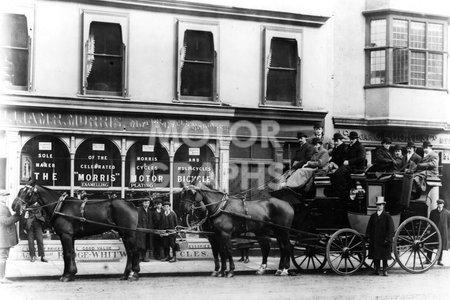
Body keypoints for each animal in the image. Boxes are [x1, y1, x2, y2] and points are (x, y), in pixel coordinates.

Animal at [12, 180, 141, 282]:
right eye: (20, 190)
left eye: (28, 193)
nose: (14, 206)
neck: (60, 206)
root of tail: (131, 203)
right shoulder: (68, 236)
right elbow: (69, 254)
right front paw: (70, 273)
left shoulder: (66, 235)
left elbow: (68, 254)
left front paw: (67, 276)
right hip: (124, 233)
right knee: (129, 252)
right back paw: (125, 275)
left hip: (129, 233)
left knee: (134, 251)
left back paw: (134, 274)